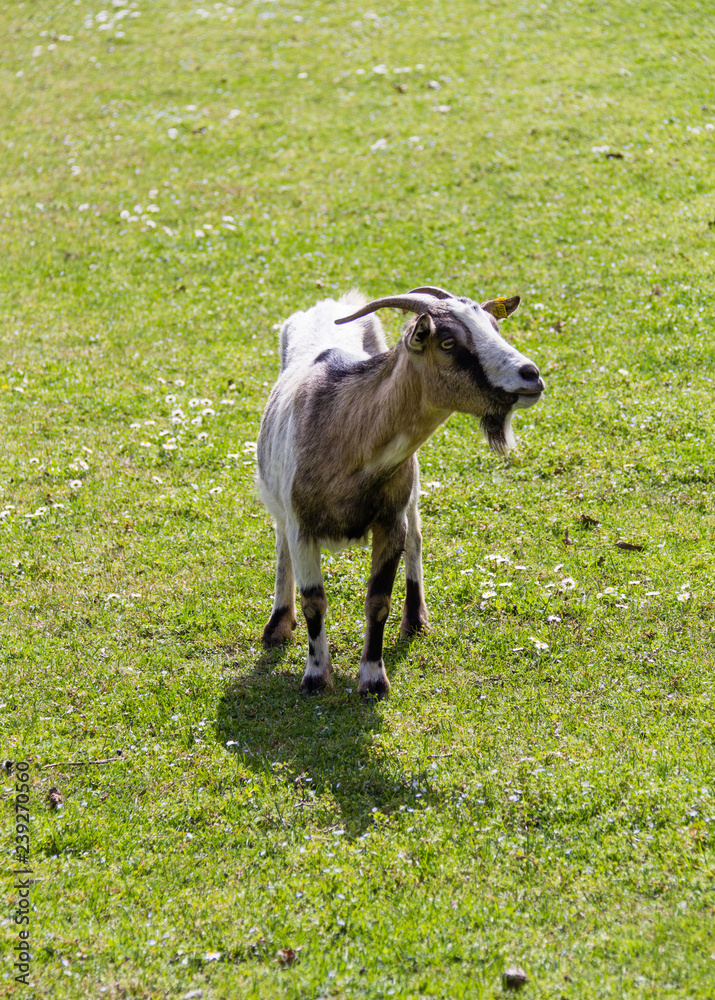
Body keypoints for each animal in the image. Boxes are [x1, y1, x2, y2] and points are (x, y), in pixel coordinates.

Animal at [256, 286, 544, 697]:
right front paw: (315, 677)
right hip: (278, 500)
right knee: (281, 546)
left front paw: (373, 679)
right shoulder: (302, 527)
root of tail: (333, 306)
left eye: (494, 326)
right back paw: (278, 624)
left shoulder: (390, 521)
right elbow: (314, 602)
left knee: (417, 538)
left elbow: (379, 600)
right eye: (447, 341)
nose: (530, 375)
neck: (349, 432)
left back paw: (416, 620)